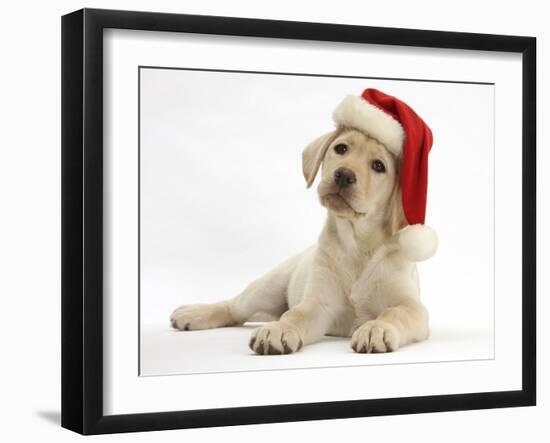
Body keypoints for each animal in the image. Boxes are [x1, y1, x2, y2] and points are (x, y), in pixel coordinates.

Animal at [170, 88, 438, 356]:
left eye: (378, 166)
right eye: (341, 149)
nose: (344, 175)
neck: (358, 242)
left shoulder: (412, 306)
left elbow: (395, 313)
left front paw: (376, 328)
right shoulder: (318, 304)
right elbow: (295, 315)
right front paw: (279, 330)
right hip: (268, 287)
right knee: (235, 308)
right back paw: (193, 313)